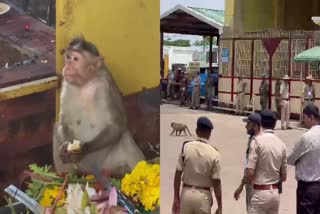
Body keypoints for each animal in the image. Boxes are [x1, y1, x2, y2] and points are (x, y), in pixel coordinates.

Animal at [53, 36, 145, 179]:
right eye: (68, 57)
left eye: (75, 59)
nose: (67, 66)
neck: (86, 82)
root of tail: (92, 171)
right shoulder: (67, 84)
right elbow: (64, 122)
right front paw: (65, 148)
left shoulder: (106, 85)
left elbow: (117, 125)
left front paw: (84, 149)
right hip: (82, 167)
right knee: (56, 128)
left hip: (108, 165)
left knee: (125, 138)